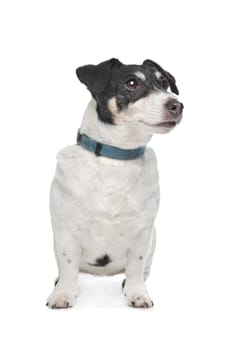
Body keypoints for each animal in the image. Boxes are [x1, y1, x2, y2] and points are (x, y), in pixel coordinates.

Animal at [46, 58, 184, 308]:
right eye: (131, 83)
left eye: (164, 83)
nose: (177, 105)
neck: (116, 158)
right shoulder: (66, 230)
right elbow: (68, 265)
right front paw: (64, 293)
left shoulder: (143, 232)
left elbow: (137, 266)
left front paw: (137, 292)